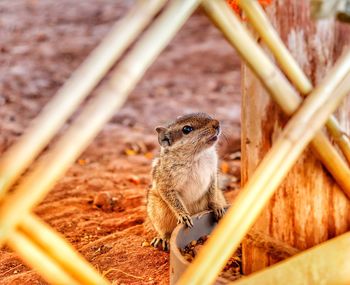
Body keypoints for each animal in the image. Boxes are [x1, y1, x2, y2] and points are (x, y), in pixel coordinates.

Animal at [146, 112, 226, 250]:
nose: (217, 123)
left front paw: (216, 206)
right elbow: (172, 198)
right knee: (165, 230)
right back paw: (163, 239)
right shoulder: (165, 182)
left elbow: (213, 189)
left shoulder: (212, 174)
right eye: (186, 129)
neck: (197, 156)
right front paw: (183, 215)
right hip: (158, 211)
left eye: (207, 115)